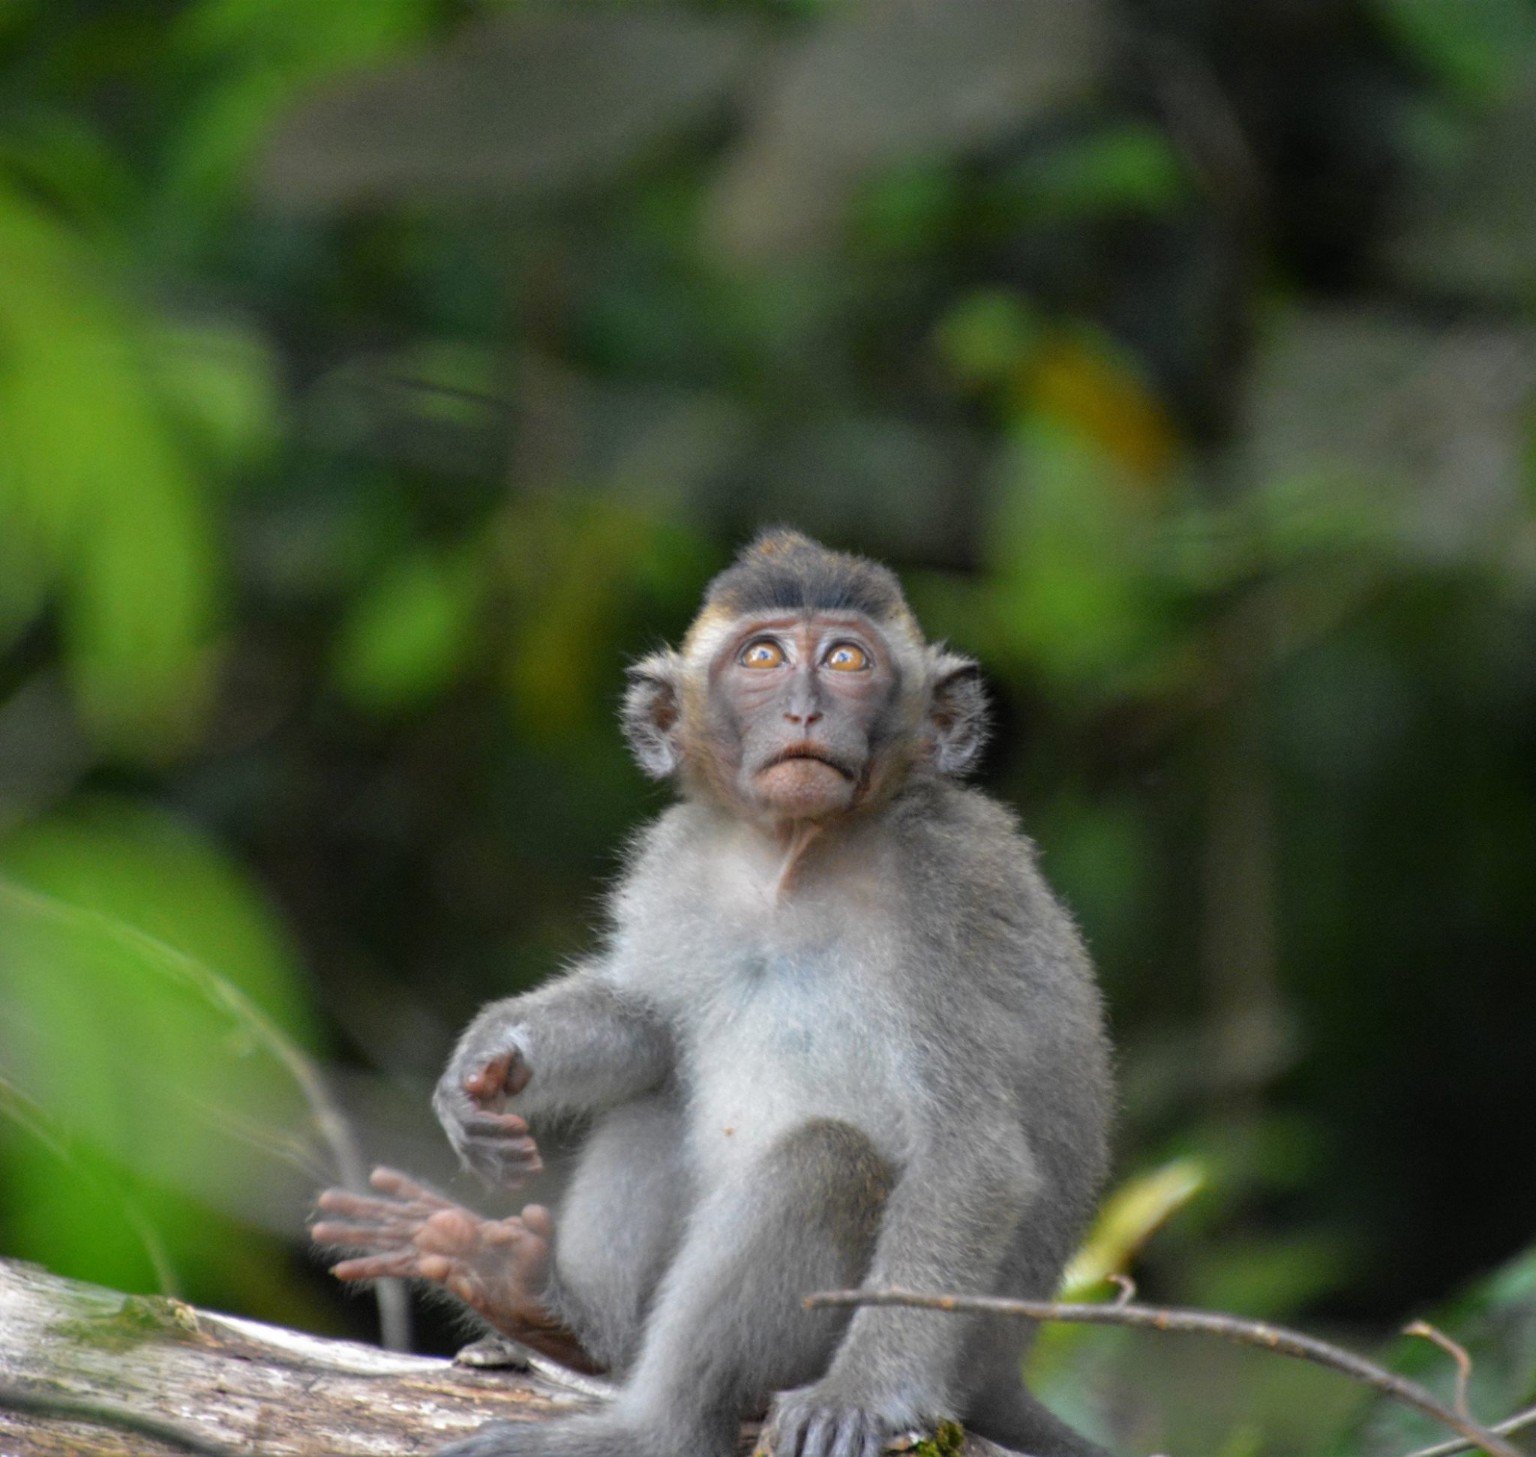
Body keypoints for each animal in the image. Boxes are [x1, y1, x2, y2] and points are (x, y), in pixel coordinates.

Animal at [313, 530, 1114, 1457]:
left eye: (847, 659)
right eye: (762, 656)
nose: (803, 711)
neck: (794, 858)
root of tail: (1000, 1373)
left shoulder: (951, 894)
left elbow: (973, 1154)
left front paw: (861, 1394)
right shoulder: (679, 856)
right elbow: (649, 1025)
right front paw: (493, 1056)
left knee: (824, 1164)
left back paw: (650, 1425)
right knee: (659, 1090)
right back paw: (546, 1305)